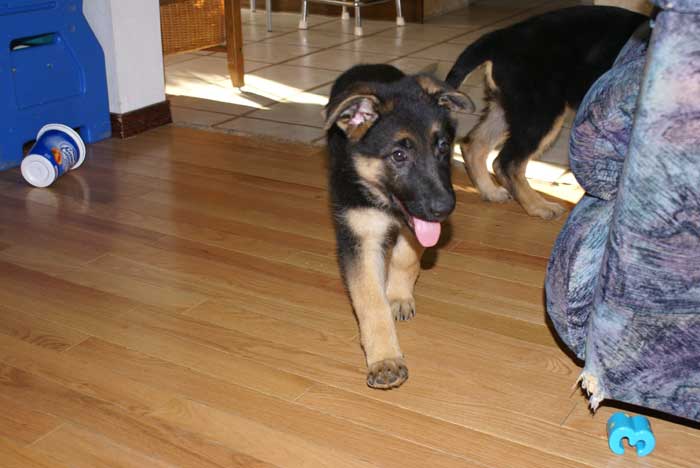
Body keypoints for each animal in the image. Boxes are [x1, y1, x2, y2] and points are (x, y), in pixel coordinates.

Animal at [326, 65, 476, 388]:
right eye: (398, 155)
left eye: (442, 147)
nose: (444, 209)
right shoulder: (359, 236)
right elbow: (370, 299)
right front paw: (385, 359)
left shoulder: (414, 223)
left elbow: (406, 258)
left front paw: (397, 296)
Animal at [446, 5, 648, 219]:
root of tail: (502, 37)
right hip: (542, 112)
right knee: (506, 162)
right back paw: (539, 206)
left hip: (508, 107)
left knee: (473, 144)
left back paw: (490, 192)